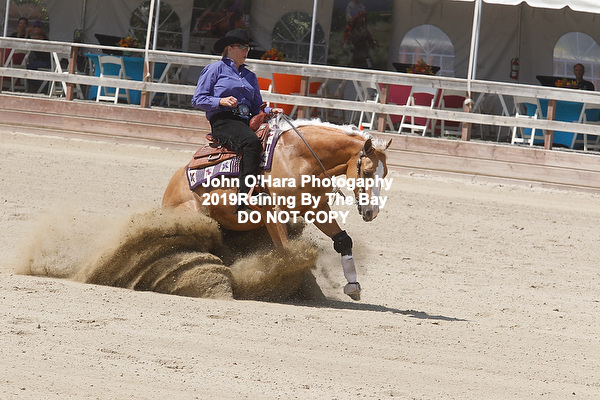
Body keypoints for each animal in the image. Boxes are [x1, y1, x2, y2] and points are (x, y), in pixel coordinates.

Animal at [162, 118, 392, 300]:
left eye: (385, 173)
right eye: (367, 172)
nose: (373, 211)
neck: (299, 157)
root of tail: (170, 189)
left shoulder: (317, 208)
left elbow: (343, 241)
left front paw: (353, 286)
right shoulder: (273, 212)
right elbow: (288, 252)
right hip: (192, 213)